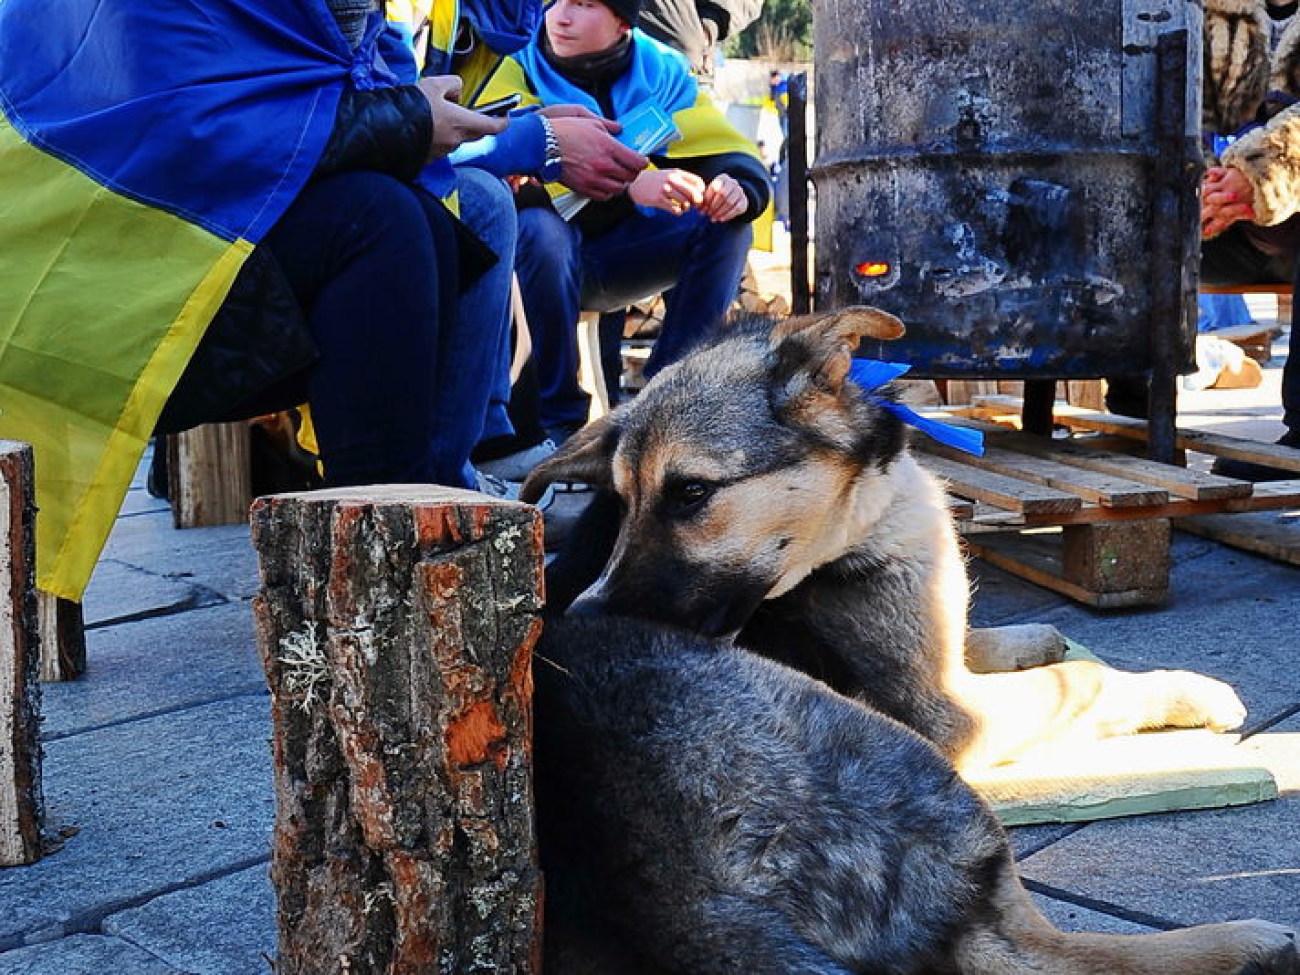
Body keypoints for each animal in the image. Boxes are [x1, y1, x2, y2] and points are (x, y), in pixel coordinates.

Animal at [520, 309, 1300, 972]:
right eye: (624, 499)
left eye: (688, 493)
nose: (585, 610)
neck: (851, 524)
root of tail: (695, 914)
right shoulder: (945, 710)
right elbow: (1087, 680)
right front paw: (1191, 691)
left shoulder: (939, 656)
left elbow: (999, 641)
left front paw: (1041, 637)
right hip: (929, 781)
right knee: (1048, 952)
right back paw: (1244, 943)